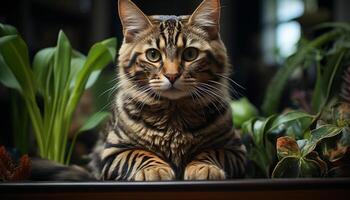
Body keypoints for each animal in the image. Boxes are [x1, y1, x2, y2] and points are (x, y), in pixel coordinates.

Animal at [88, 0, 246, 181]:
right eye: (153, 55)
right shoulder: (113, 151)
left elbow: (210, 152)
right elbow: (140, 154)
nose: (172, 75)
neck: (174, 116)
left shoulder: (234, 148)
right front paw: (154, 170)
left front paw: (204, 167)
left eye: (190, 54)